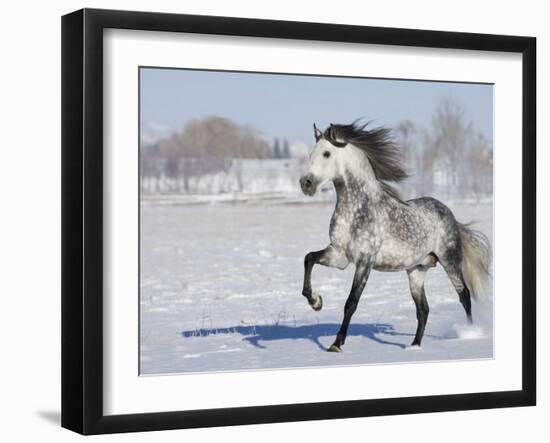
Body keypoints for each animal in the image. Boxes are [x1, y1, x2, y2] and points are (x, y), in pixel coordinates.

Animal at [300, 122, 494, 354]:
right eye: (311, 153)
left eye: (326, 153)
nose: (306, 183)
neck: (357, 210)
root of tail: (450, 214)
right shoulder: (339, 255)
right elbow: (309, 258)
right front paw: (315, 301)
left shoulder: (365, 261)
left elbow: (351, 302)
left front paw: (336, 344)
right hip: (416, 271)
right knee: (423, 309)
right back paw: (414, 346)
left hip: (450, 261)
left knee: (464, 296)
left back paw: (469, 334)